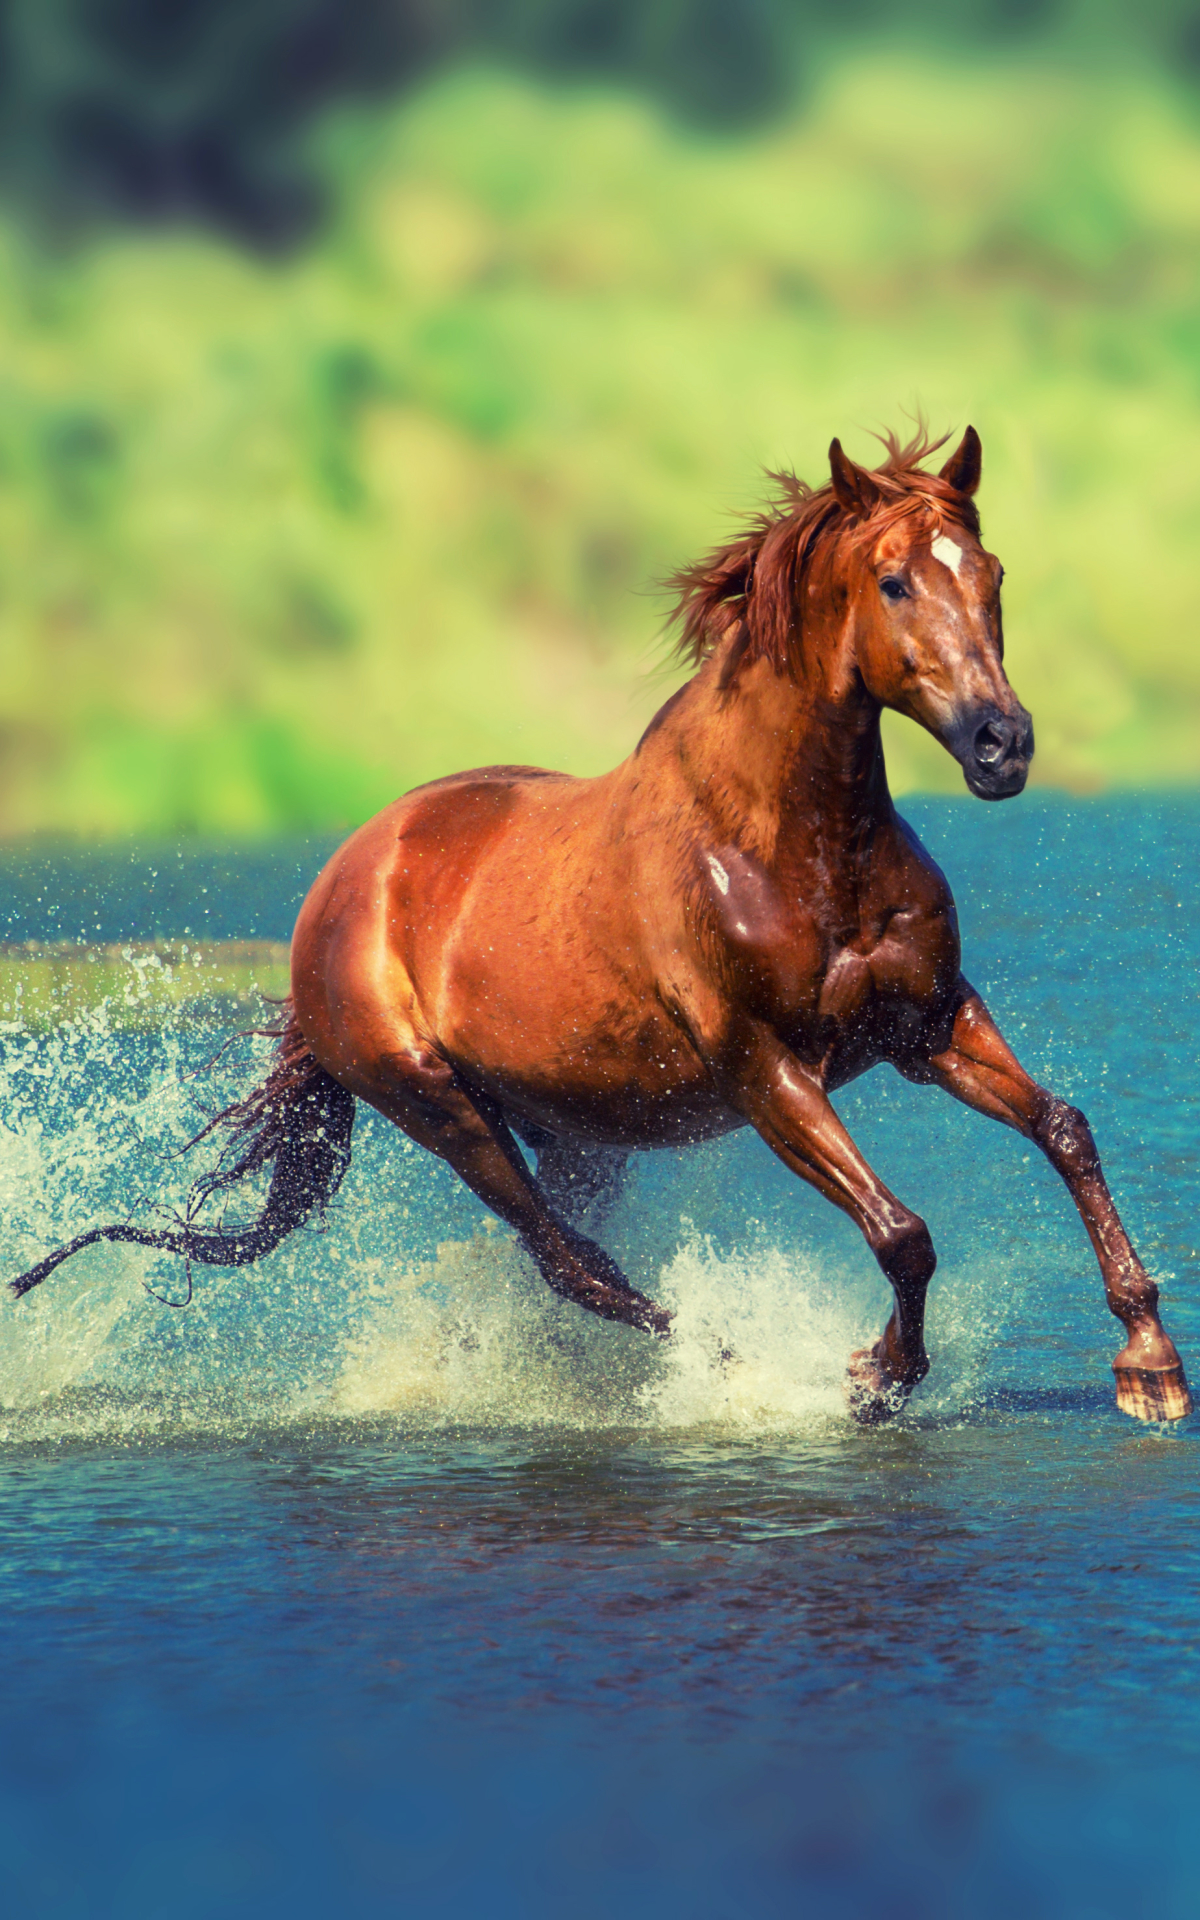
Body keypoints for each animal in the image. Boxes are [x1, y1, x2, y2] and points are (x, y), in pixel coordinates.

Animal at [9, 432, 1190, 1428]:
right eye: (895, 579)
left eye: (991, 576)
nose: (1002, 745)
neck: (790, 844)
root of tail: (338, 887)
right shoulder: (767, 1069)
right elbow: (902, 1232)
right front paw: (874, 1377)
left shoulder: (927, 1023)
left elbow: (1066, 1129)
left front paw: (1149, 1366)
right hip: (439, 1106)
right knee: (573, 1263)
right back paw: (729, 1367)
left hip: (575, 1127)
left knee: (574, 1259)